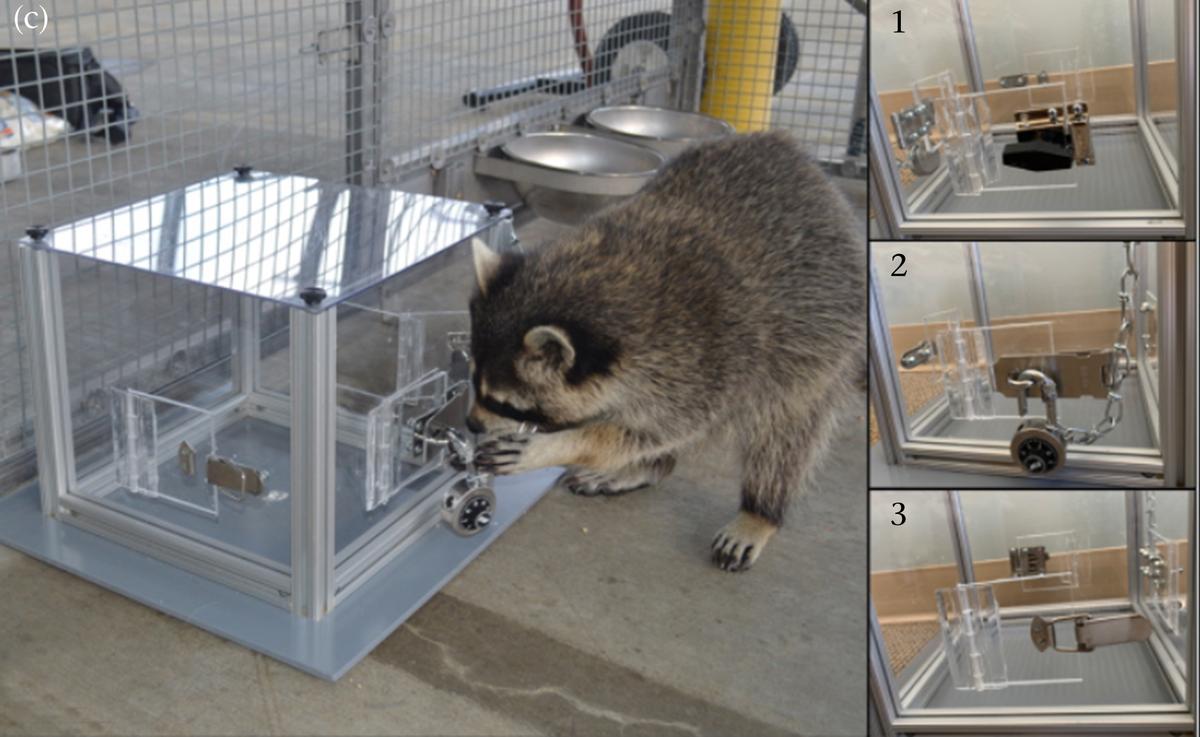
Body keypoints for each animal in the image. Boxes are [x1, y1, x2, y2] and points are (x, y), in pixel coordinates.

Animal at [468, 130, 864, 572]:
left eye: (503, 402)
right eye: (473, 382)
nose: (471, 424)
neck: (604, 279)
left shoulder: (703, 363)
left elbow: (645, 432)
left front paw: (561, 445)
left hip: (819, 346)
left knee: (786, 433)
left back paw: (760, 511)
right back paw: (650, 467)